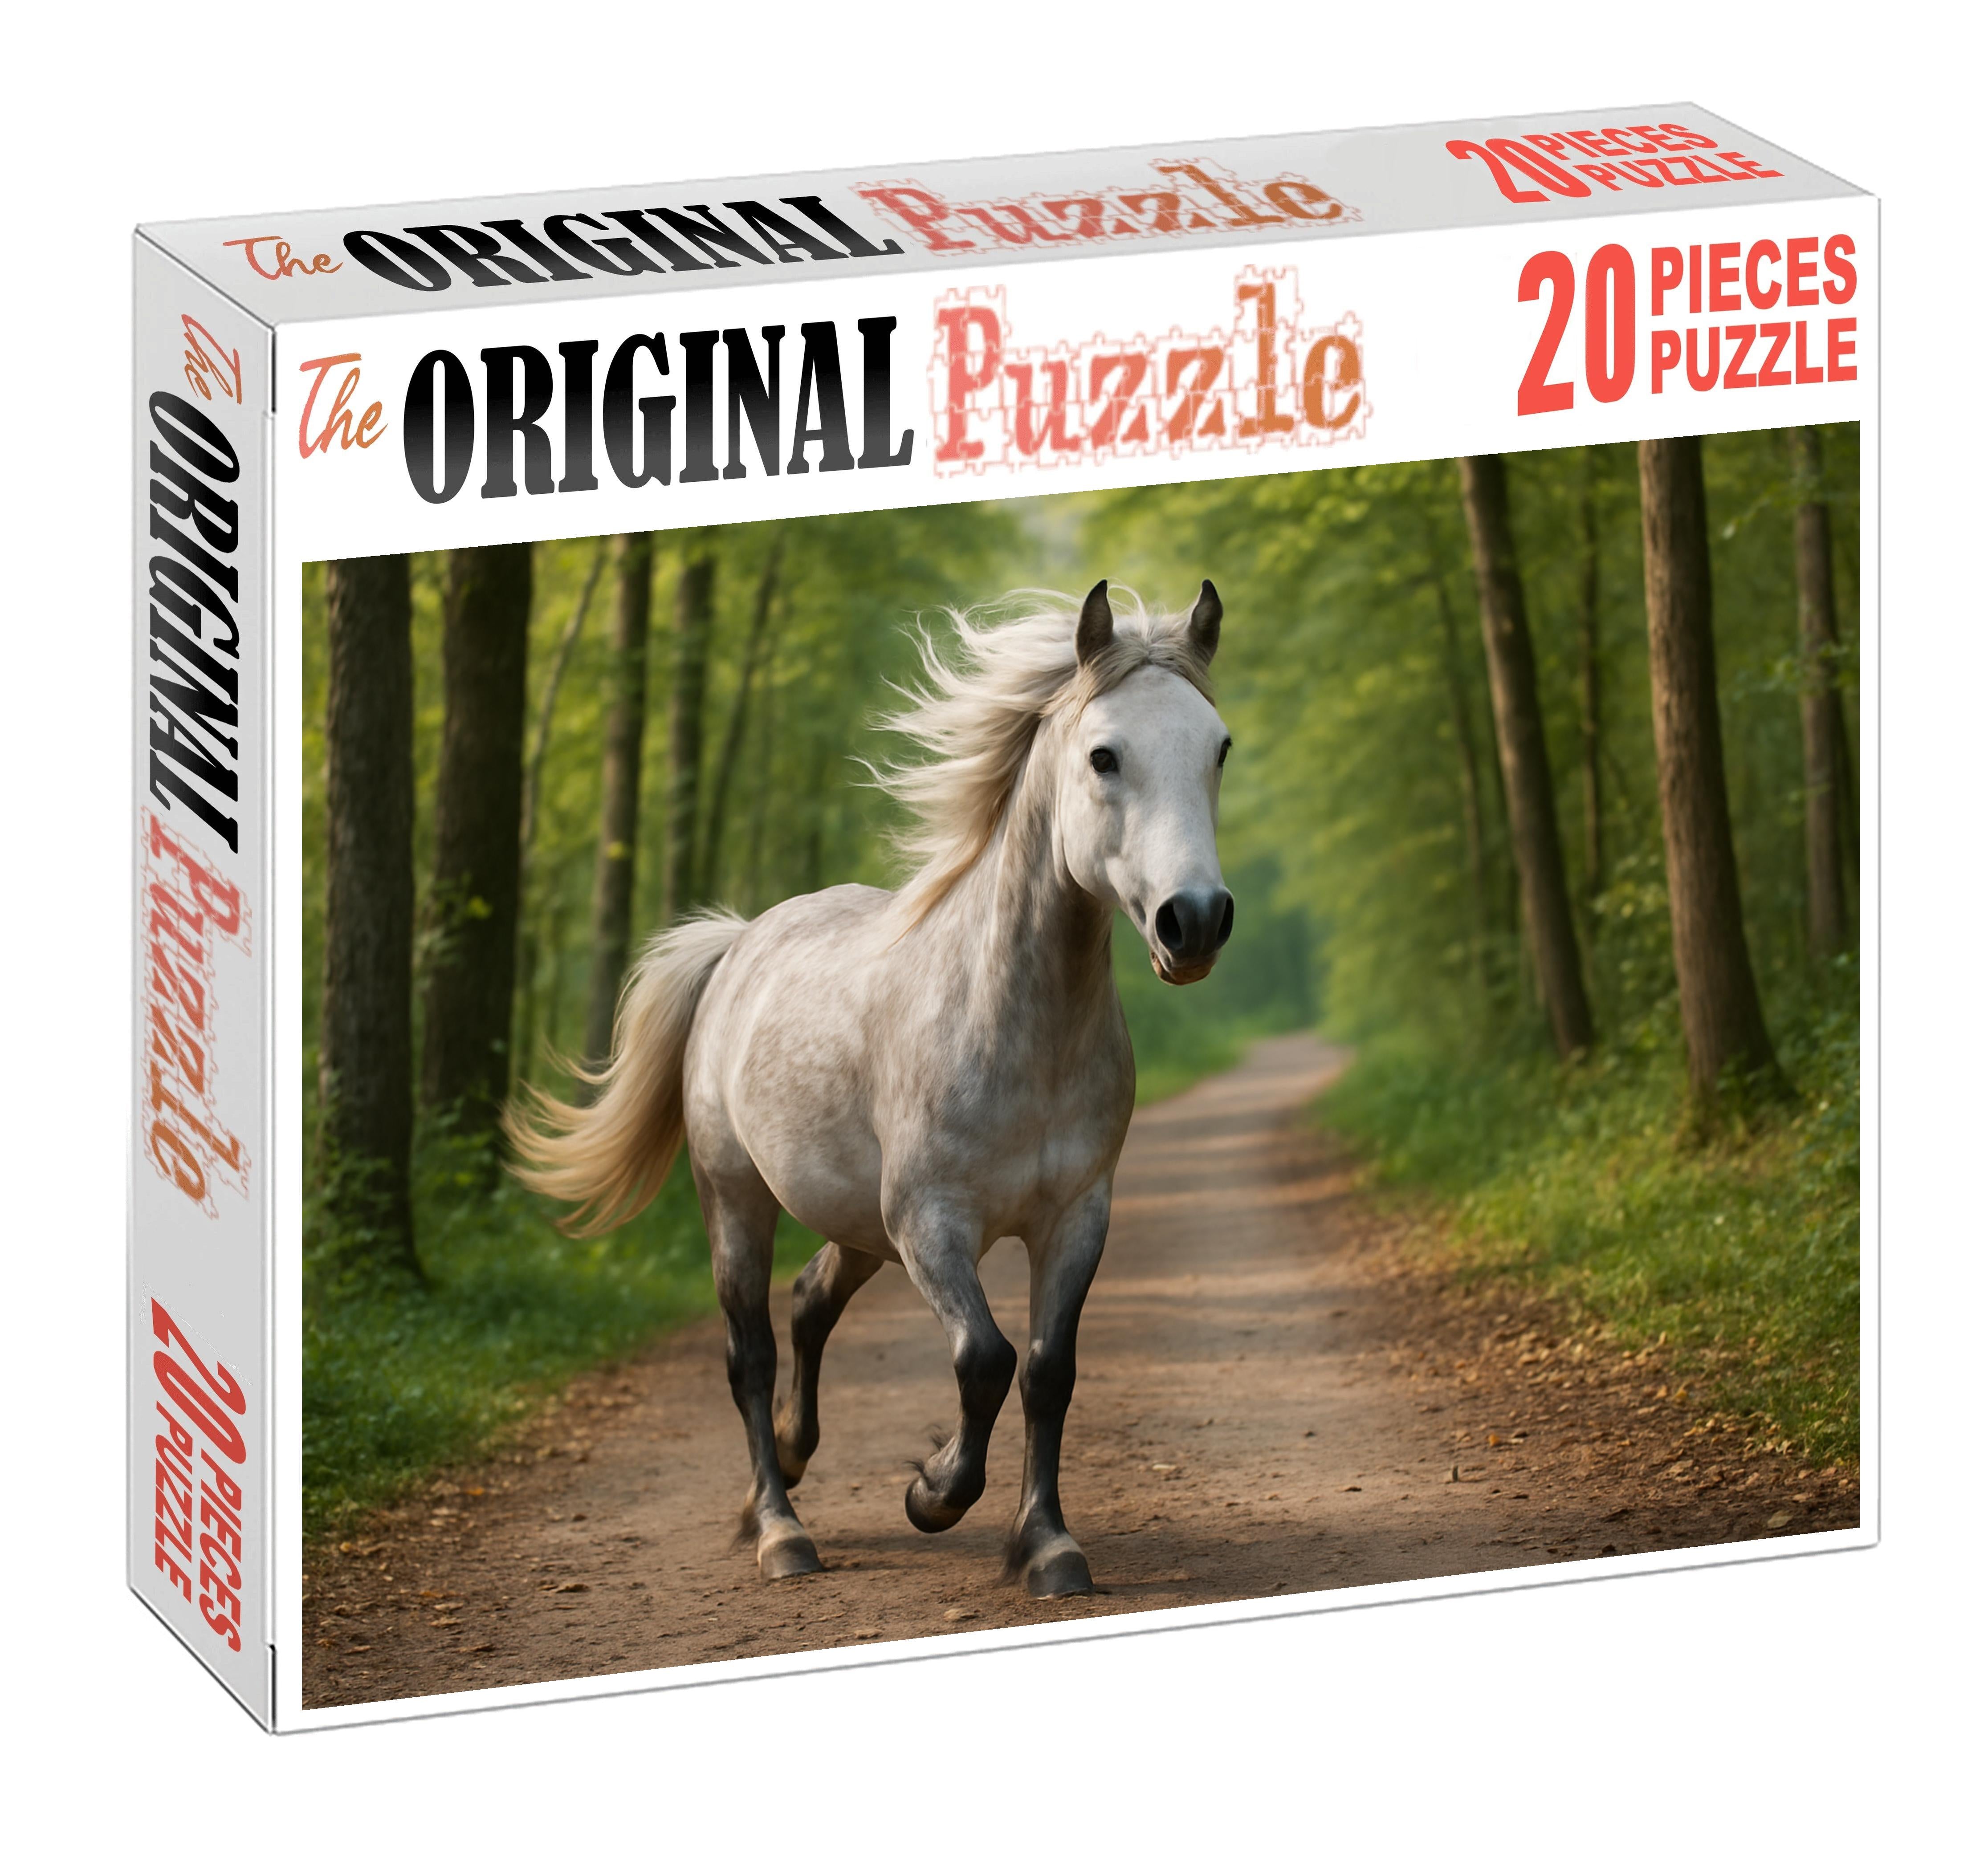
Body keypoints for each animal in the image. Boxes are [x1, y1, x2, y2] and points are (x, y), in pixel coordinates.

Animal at [507, 578, 1234, 1597]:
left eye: (1219, 746)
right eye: (1104, 755)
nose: (1194, 921)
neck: (1017, 1031)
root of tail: (737, 943)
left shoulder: (1076, 1217)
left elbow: (1048, 1369)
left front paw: (1046, 1544)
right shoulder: (931, 1222)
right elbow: (984, 1357)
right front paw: (931, 1493)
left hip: (856, 1224)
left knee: (811, 1301)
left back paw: (786, 1466)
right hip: (740, 1200)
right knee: (750, 1351)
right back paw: (780, 1528)